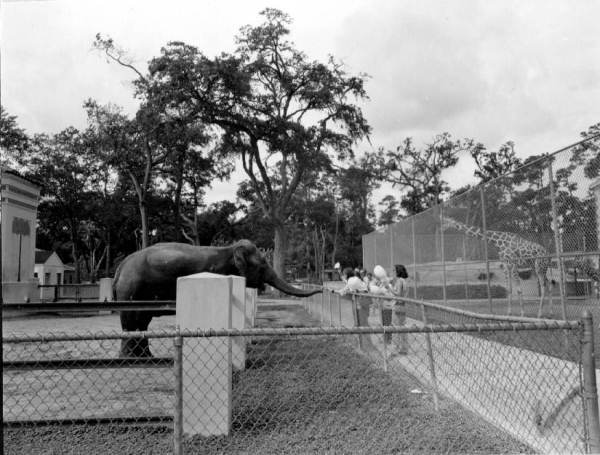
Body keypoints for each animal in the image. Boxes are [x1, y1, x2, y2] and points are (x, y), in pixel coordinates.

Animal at [114, 240, 322, 358]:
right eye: (262, 265)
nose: (321, 289)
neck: (229, 249)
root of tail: (121, 266)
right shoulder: (219, 271)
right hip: (131, 290)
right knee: (131, 321)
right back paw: (130, 359)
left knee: (141, 322)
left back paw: (144, 358)